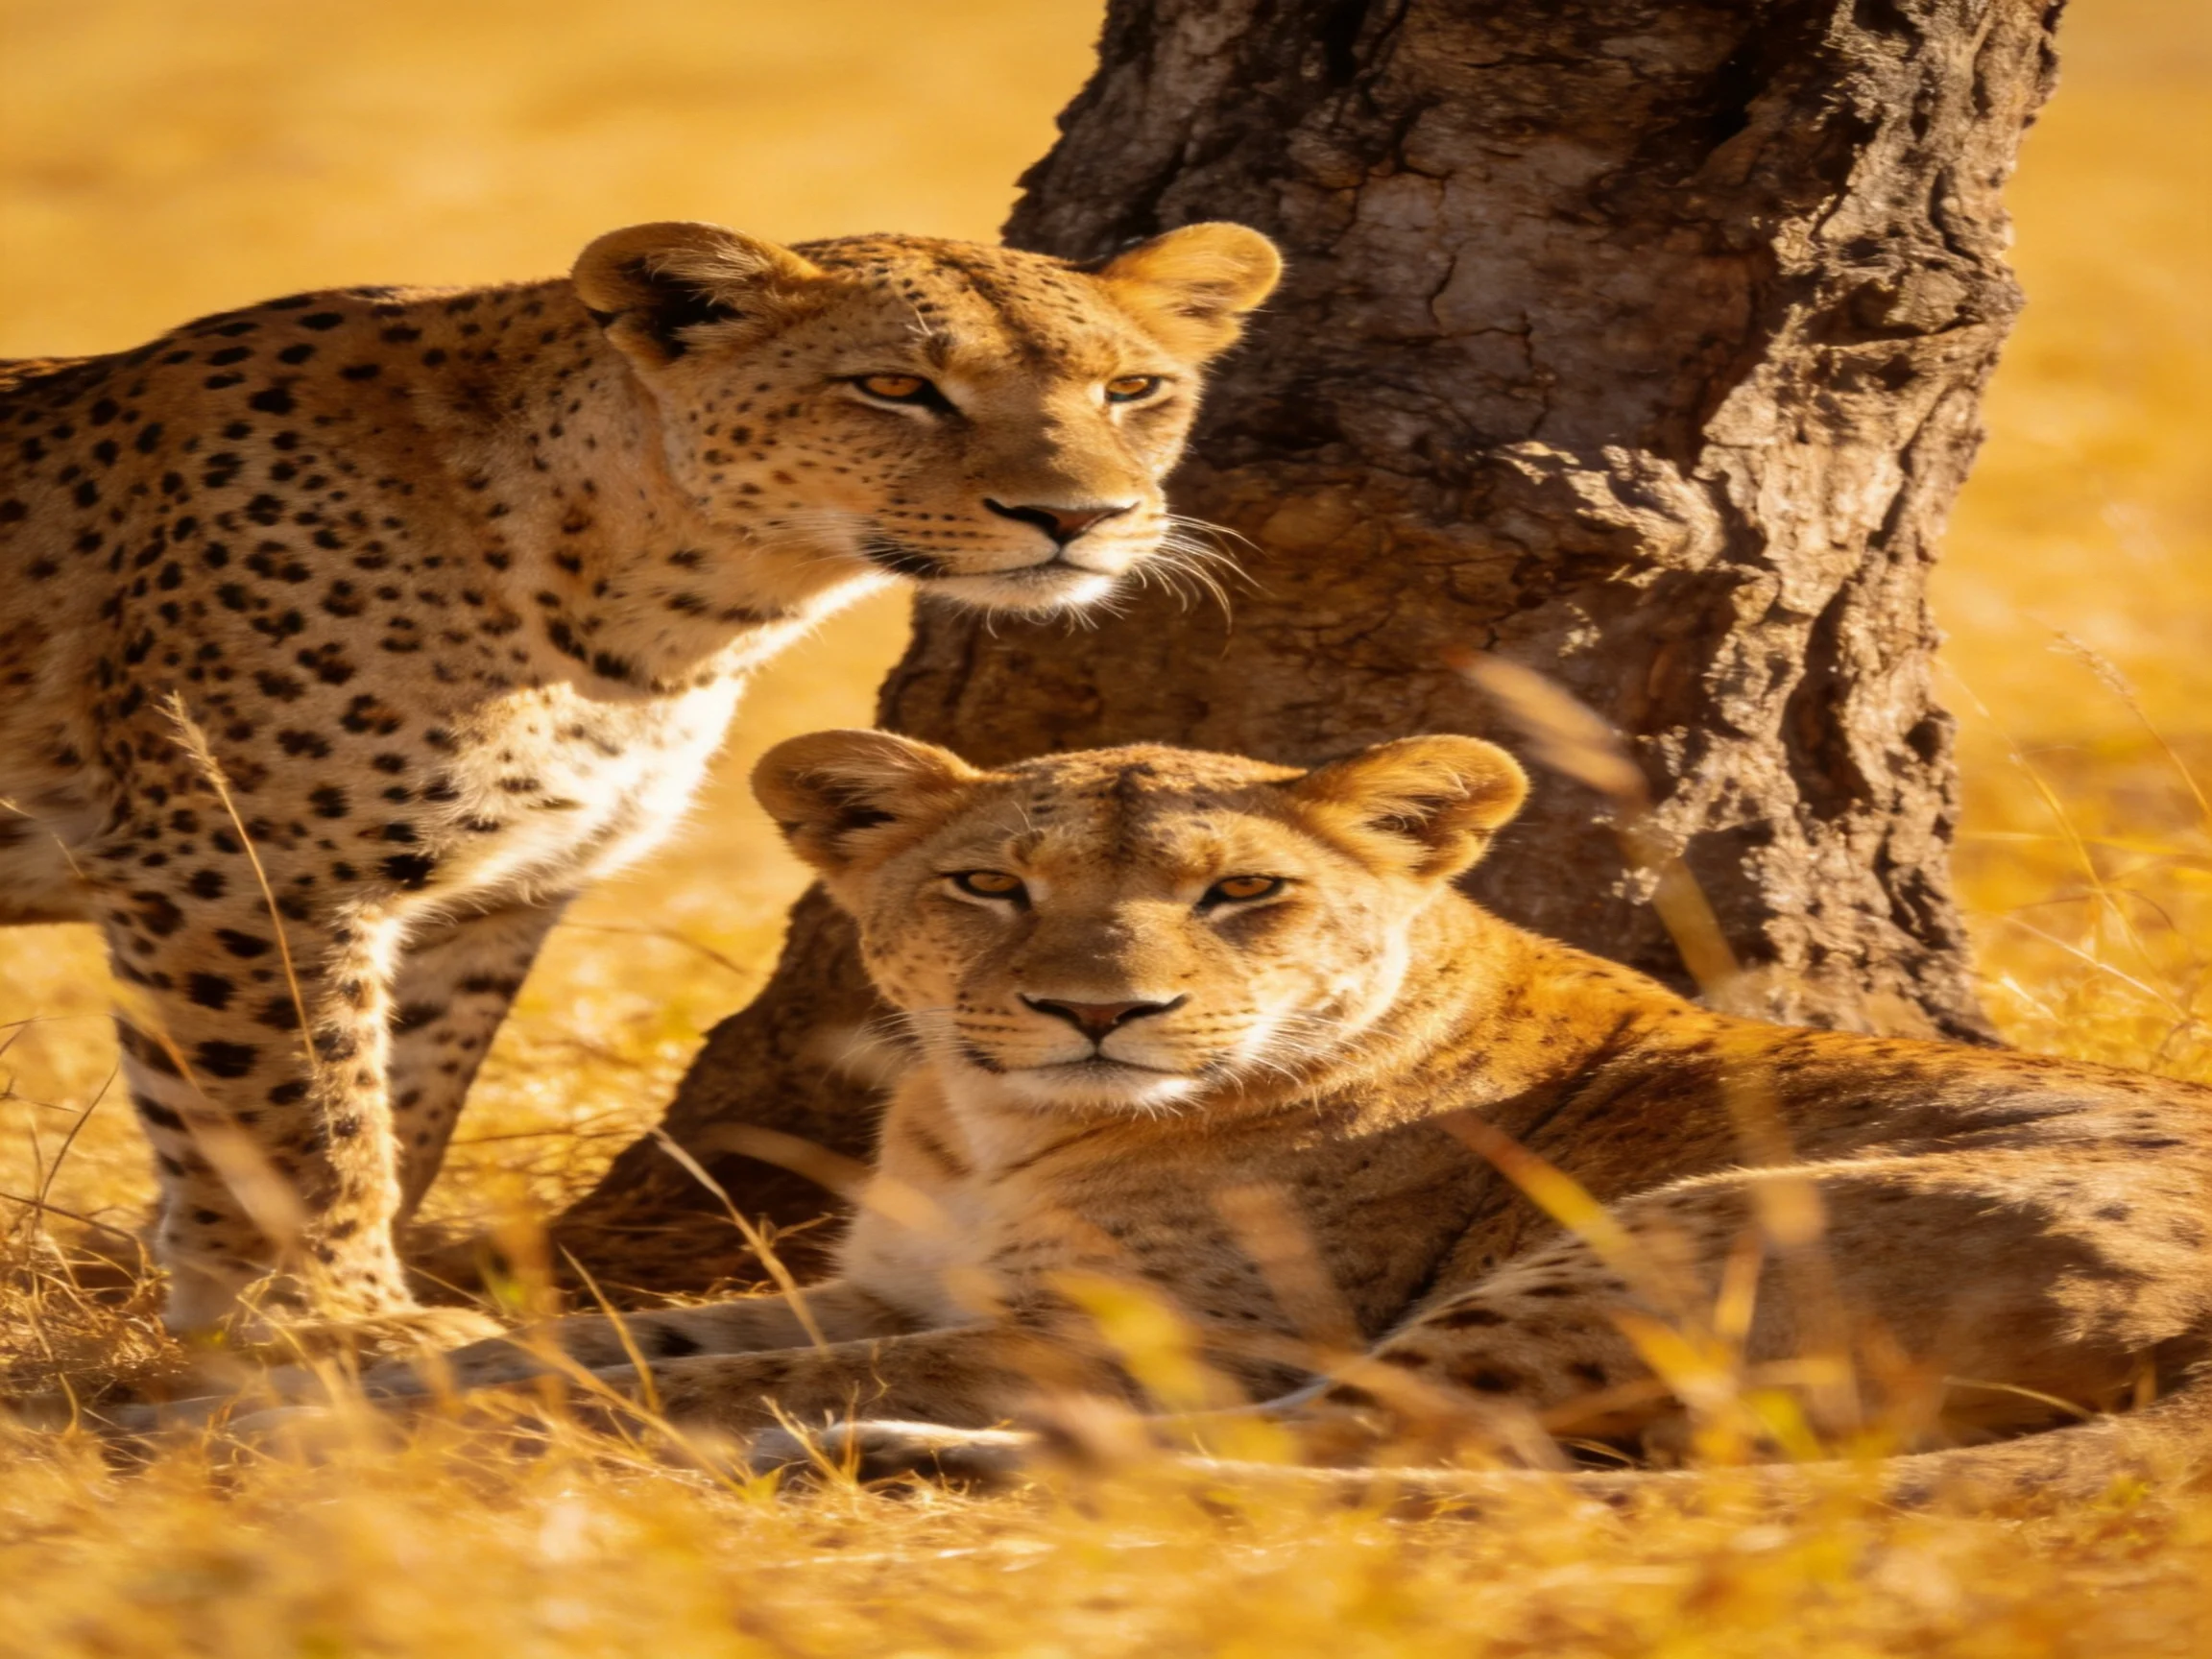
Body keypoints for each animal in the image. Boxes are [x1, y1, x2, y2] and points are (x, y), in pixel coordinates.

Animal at [0, 218, 1282, 1346]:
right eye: (896, 388)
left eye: (1132, 390)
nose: (1082, 517)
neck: (654, 627)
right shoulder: (247, 874)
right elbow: (298, 1116)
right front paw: (321, 1323)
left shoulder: (492, 898)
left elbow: (405, 1101)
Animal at [335, 728, 2212, 1506]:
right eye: (990, 884)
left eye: (1240, 891)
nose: (1100, 1011)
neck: (992, 1125)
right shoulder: (891, 1278)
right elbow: (610, 1334)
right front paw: (330, 1374)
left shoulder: (1157, 1330)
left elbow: (705, 1373)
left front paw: (386, 1435)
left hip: (1662, 1236)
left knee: (1379, 1445)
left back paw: (869, 1458)